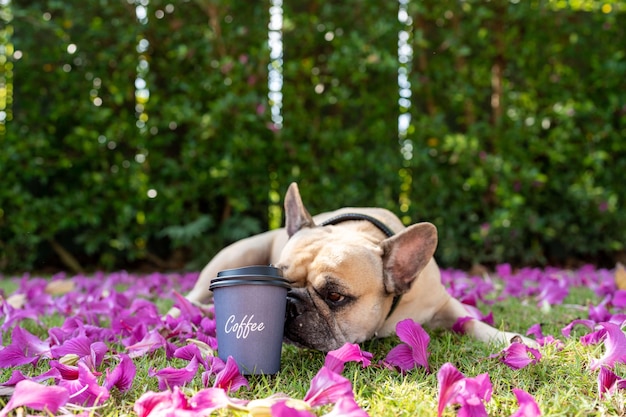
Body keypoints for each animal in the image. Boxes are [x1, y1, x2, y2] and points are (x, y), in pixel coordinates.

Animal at [176, 182, 532, 352]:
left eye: (335, 297)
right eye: (278, 282)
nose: (289, 303)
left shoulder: (443, 303)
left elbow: (471, 322)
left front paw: (510, 339)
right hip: (235, 255)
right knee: (190, 298)